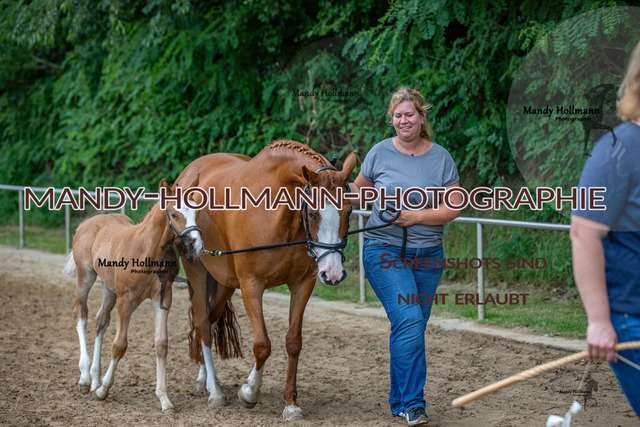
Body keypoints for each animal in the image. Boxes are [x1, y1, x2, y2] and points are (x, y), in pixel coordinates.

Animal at [62, 177, 203, 413]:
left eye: (196, 212)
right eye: (175, 214)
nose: (198, 246)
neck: (148, 250)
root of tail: (88, 222)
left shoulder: (162, 299)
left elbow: (161, 344)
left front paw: (164, 399)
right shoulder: (126, 300)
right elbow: (120, 344)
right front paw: (104, 390)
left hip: (109, 288)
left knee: (101, 321)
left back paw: (94, 378)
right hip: (86, 276)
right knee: (80, 314)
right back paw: (85, 378)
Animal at [173, 140, 357, 420]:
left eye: (348, 211)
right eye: (313, 214)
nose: (333, 273)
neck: (277, 215)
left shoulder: (303, 284)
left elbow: (293, 342)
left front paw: (291, 403)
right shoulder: (252, 285)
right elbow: (262, 345)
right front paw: (249, 392)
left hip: (225, 282)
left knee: (211, 321)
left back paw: (205, 378)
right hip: (197, 272)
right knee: (202, 324)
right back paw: (215, 391)